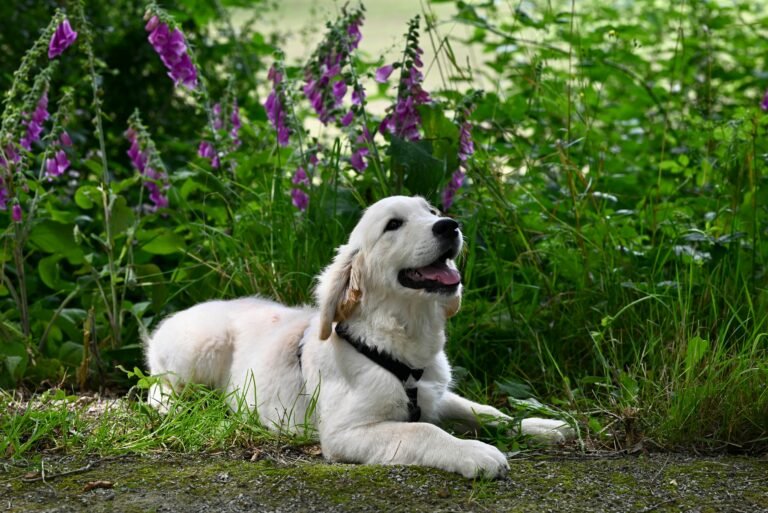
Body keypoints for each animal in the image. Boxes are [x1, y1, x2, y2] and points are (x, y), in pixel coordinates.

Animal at [147, 195, 572, 476]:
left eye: (431, 212)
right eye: (393, 225)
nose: (449, 224)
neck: (401, 348)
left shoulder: (434, 393)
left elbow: (482, 410)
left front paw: (540, 426)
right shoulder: (345, 432)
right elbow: (425, 430)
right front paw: (475, 452)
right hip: (198, 351)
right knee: (157, 388)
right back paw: (179, 409)